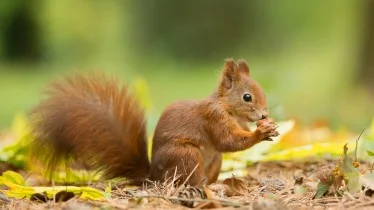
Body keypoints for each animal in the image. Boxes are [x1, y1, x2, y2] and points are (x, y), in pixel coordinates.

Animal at [30, 58, 280, 186]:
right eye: (247, 97)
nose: (264, 115)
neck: (226, 107)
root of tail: (152, 176)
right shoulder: (213, 118)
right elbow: (228, 141)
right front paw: (261, 133)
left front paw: (267, 127)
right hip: (185, 155)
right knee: (186, 180)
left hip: (213, 161)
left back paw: (215, 185)